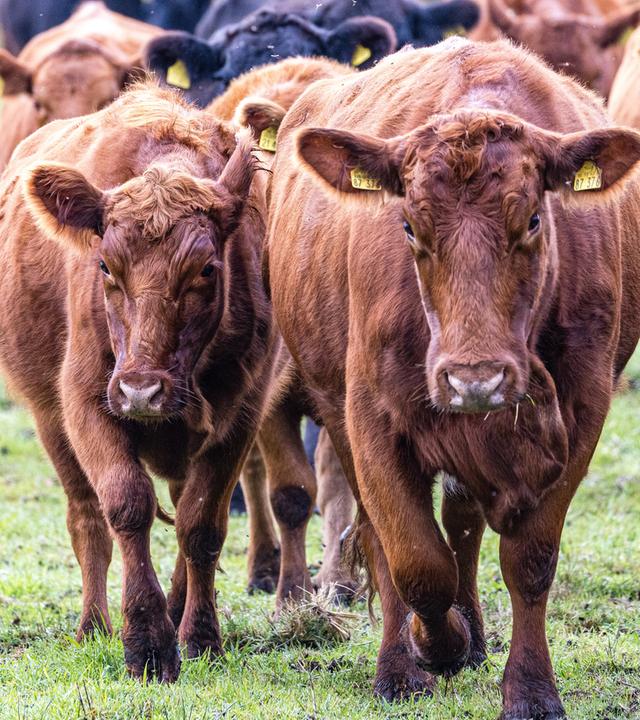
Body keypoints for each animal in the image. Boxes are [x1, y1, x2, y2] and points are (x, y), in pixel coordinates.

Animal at [0, 79, 313, 680]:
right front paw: (145, 641)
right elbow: (126, 505)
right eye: (104, 267)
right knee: (86, 519)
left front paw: (198, 635)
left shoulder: (240, 416)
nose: (141, 390)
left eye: (206, 270)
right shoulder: (86, 402)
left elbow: (201, 524)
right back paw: (93, 624)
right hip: (50, 420)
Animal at [265, 38, 640, 716]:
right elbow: (416, 562)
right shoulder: (370, 418)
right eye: (410, 226)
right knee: (386, 539)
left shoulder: (583, 412)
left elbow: (528, 561)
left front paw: (530, 688)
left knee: (462, 527)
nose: (475, 381)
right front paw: (426, 650)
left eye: (534, 221)